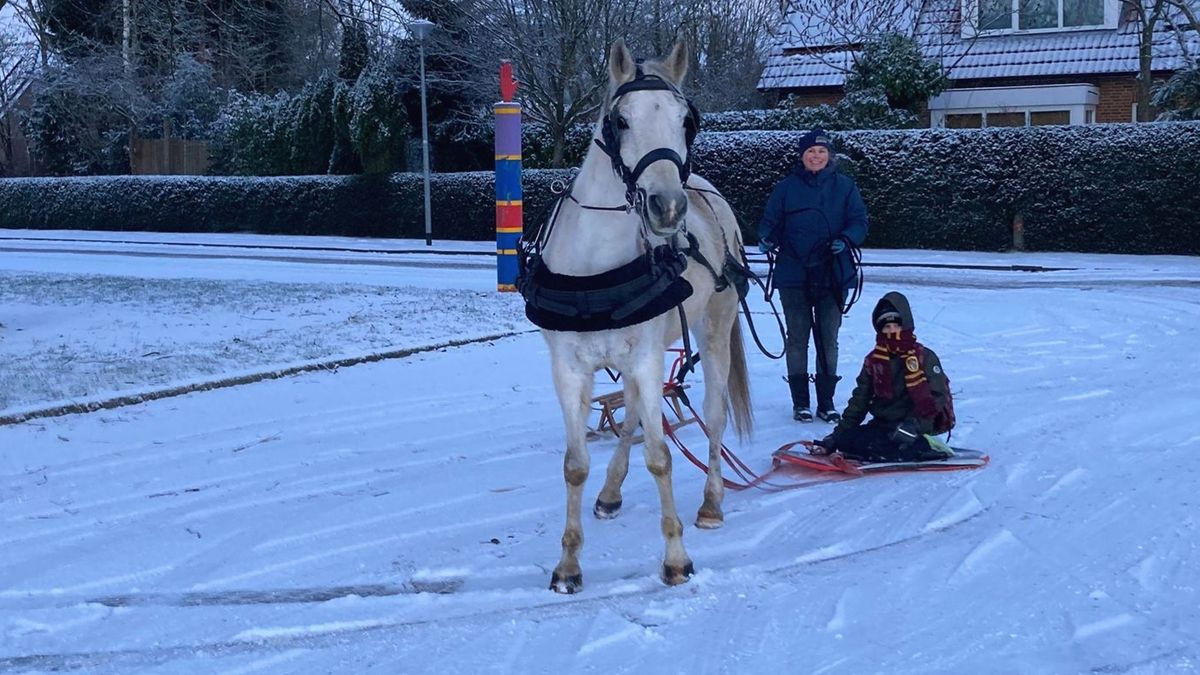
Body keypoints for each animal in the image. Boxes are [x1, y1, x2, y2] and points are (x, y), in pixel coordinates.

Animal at [520, 40, 753, 593]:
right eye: (620, 121)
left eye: (686, 122)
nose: (667, 208)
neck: (594, 268)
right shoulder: (569, 368)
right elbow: (576, 464)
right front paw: (568, 564)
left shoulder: (648, 358)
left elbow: (661, 458)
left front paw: (676, 559)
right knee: (629, 416)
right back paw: (610, 492)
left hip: (713, 332)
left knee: (711, 416)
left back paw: (711, 502)